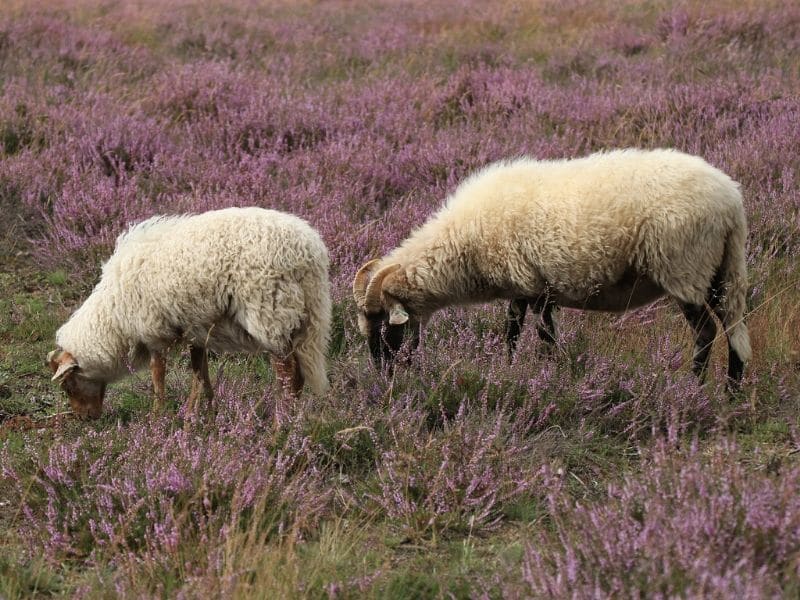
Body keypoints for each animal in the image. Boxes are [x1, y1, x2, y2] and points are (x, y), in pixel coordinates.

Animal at [354, 148, 752, 392]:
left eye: (383, 326)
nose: (383, 377)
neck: (463, 244)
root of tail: (731, 201)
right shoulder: (526, 286)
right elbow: (518, 332)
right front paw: (515, 370)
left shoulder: (535, 285)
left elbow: (538, 336)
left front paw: (540, 376)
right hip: (721, 269)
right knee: (734, 329)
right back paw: (731, 391)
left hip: (684, 268)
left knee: (705, 331)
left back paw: (693, 387)